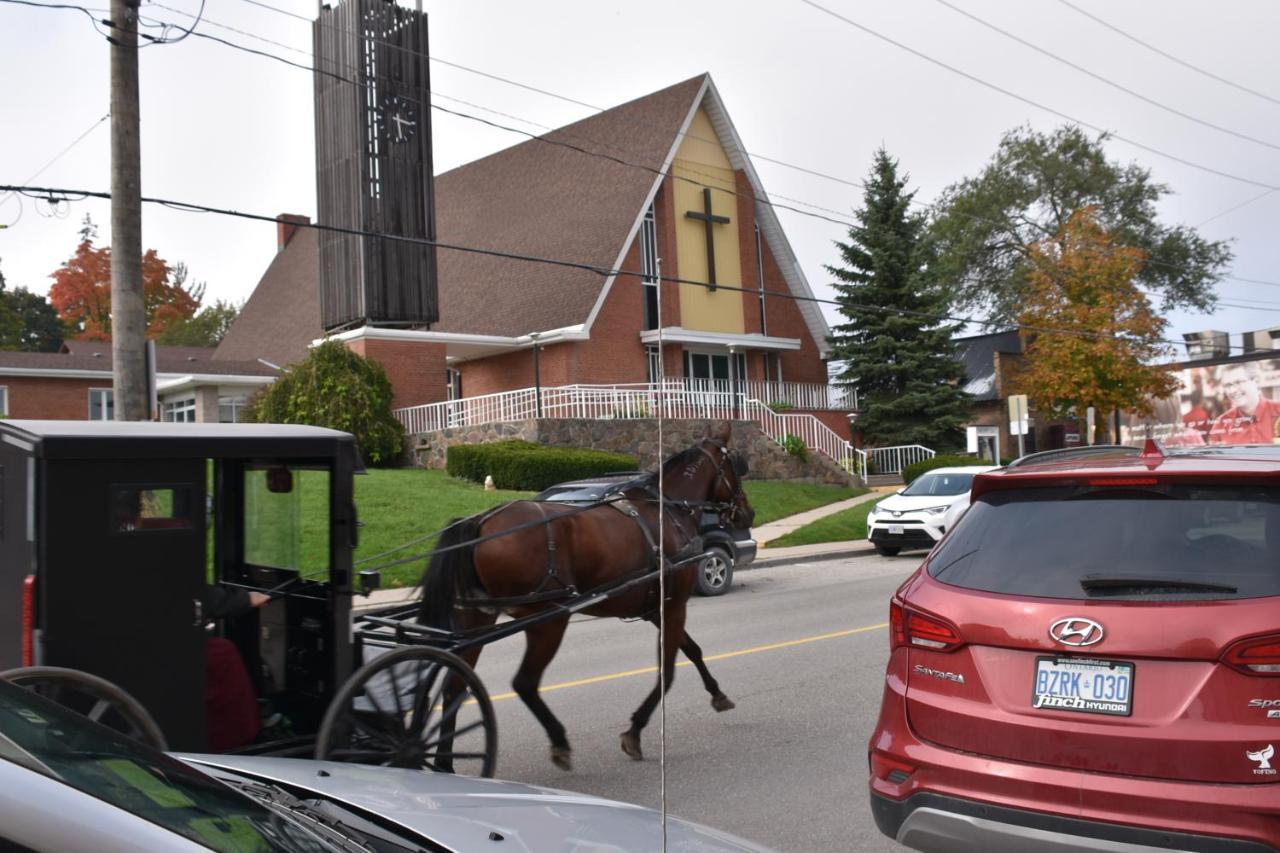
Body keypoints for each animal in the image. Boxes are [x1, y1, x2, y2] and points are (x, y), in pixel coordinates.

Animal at [419, 422, 752, 768]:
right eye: (736, 466)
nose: (747, 512)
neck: (668, 509)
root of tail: (480, 522)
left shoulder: (656, 610)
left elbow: (694, 650)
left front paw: (718, 694)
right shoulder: (673, 606)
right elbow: (669, 671)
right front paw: (634, 731)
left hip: (476, 616)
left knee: (455, 687)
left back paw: (443, 760)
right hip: (549, 619)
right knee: (523, 683)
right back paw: (558, 741)